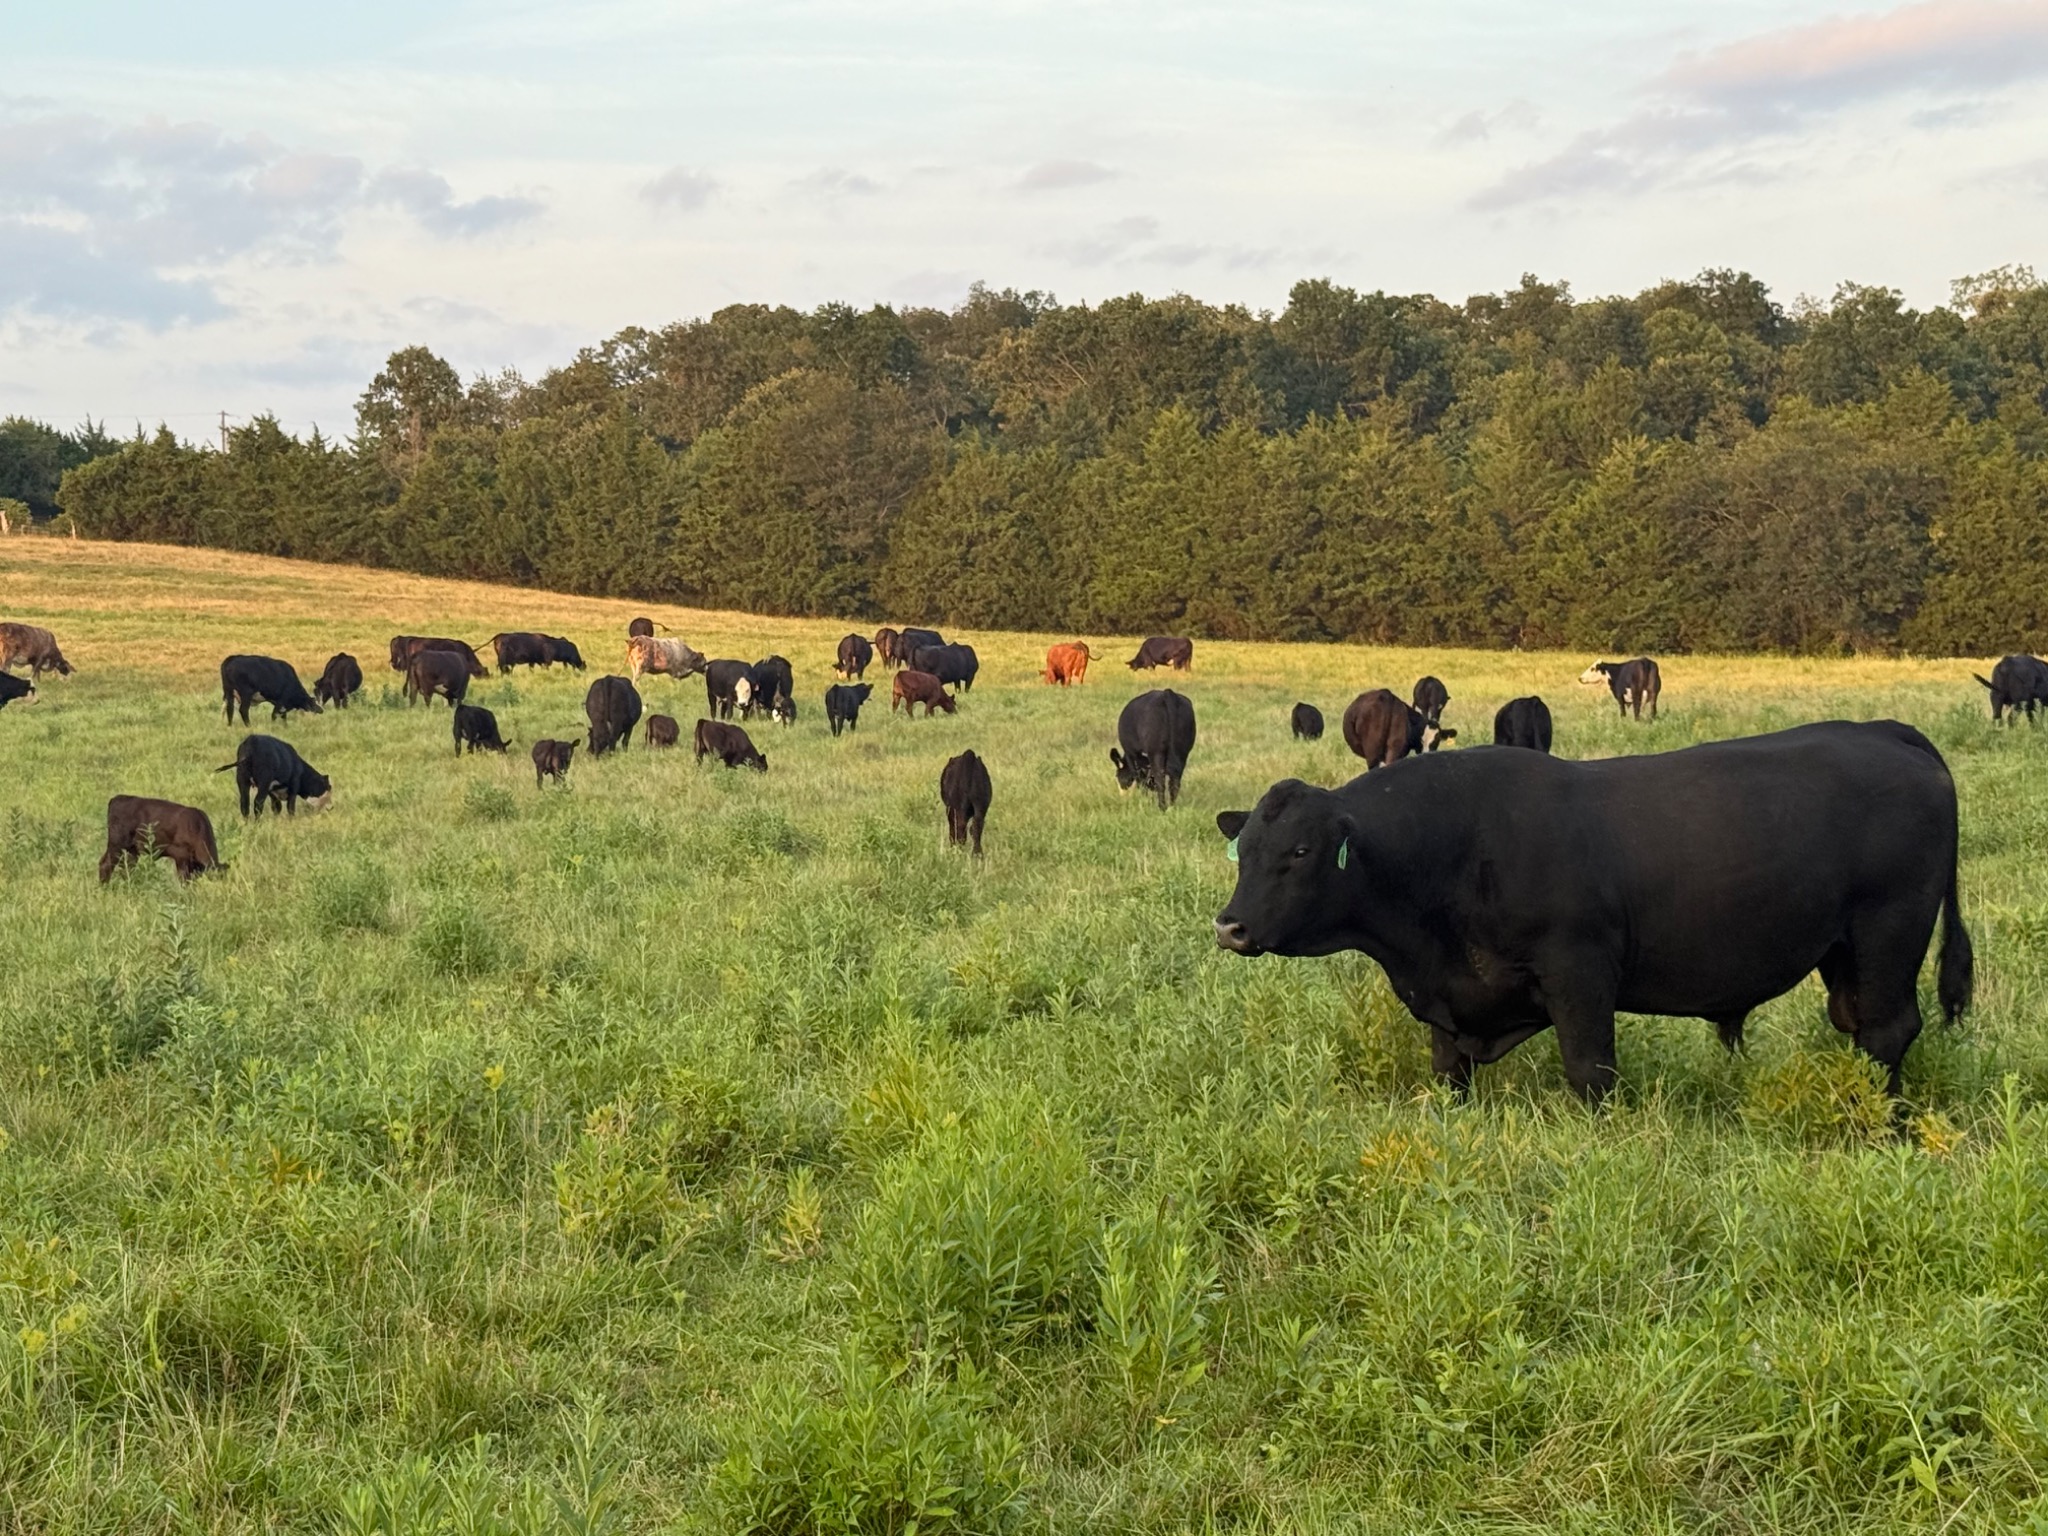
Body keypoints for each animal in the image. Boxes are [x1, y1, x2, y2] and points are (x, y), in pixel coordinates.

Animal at [1213, 720, 1974, 1099]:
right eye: (1243, 848)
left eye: (1301, 850)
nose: (1230, 926)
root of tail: (1885, 732)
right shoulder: (1449, 1002)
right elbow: (1448, 1073)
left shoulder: (1579, 971)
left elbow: (1589, 1069)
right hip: (1844, 951)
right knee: (1858, 1025)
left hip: (1889, 930)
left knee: (1888, 1031)